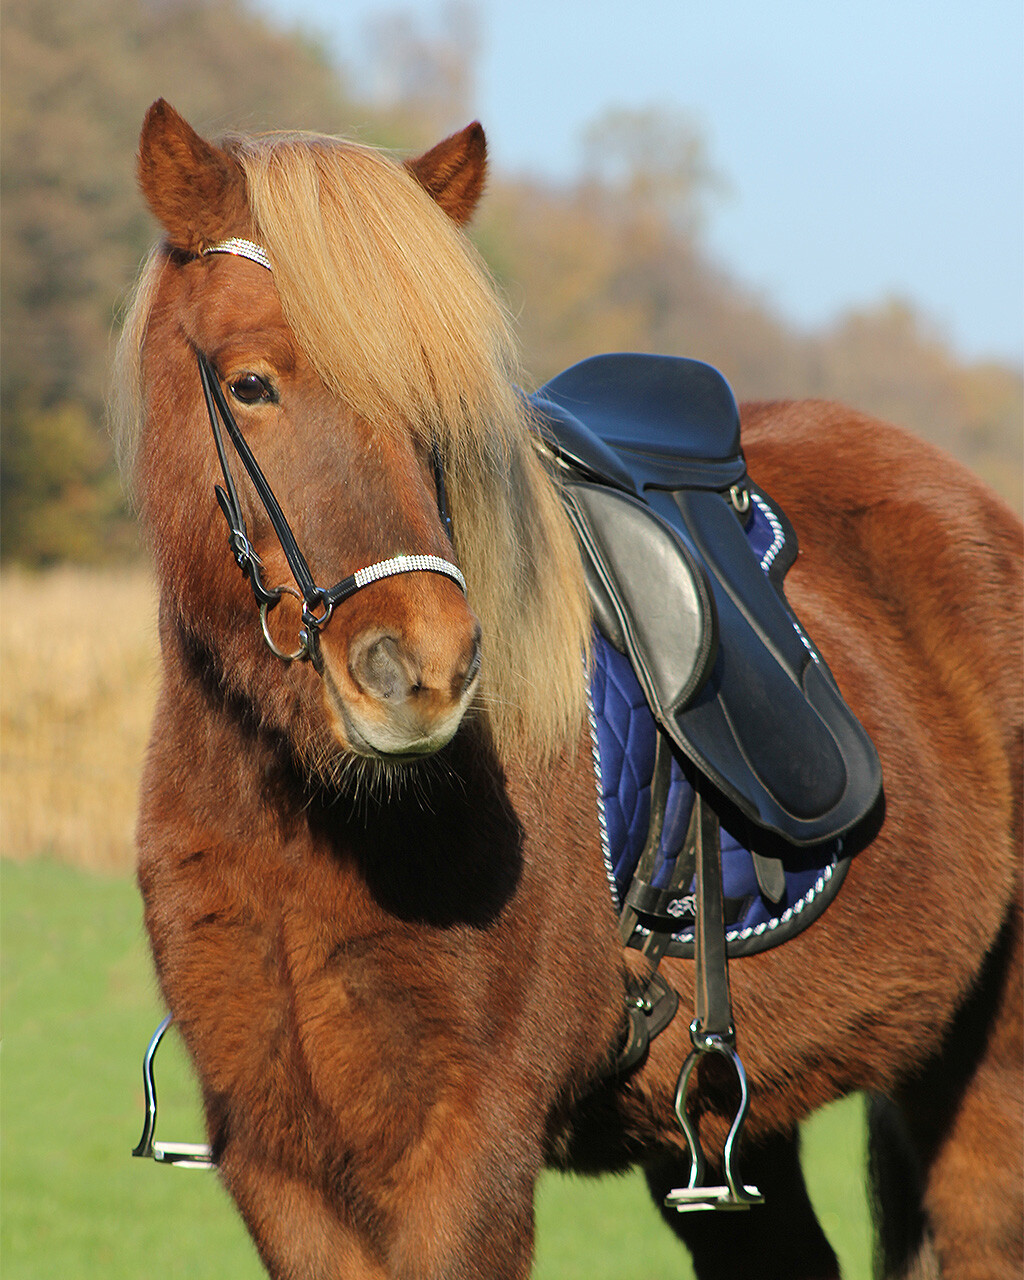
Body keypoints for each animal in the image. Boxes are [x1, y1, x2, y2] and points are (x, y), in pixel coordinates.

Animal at [115, 99, 1022, 1279]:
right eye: (249, 384)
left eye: (441, 407)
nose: (427, 668)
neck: (302, 821)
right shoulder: (281, 1162)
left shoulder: (468, 1157)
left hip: (984, 1081)